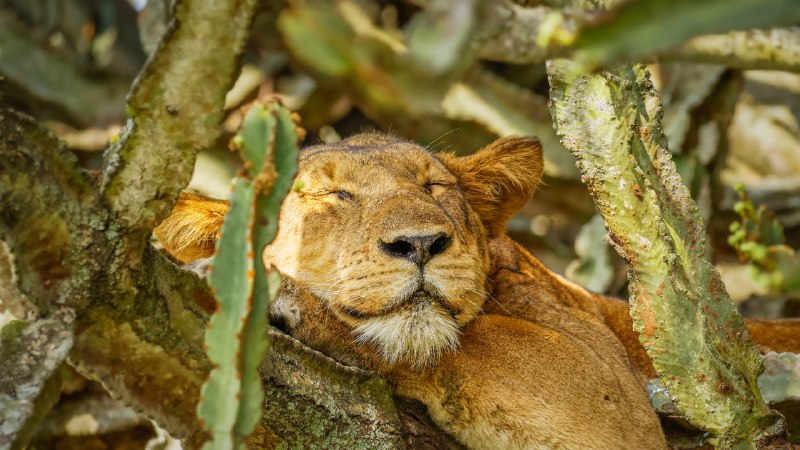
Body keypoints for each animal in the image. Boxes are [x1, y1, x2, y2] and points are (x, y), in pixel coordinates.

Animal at [155, 133, 799, 450]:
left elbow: (457, 345)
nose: (420, 243)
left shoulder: (611, 394)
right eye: (334, 196)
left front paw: (278, 297)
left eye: (433, 186)